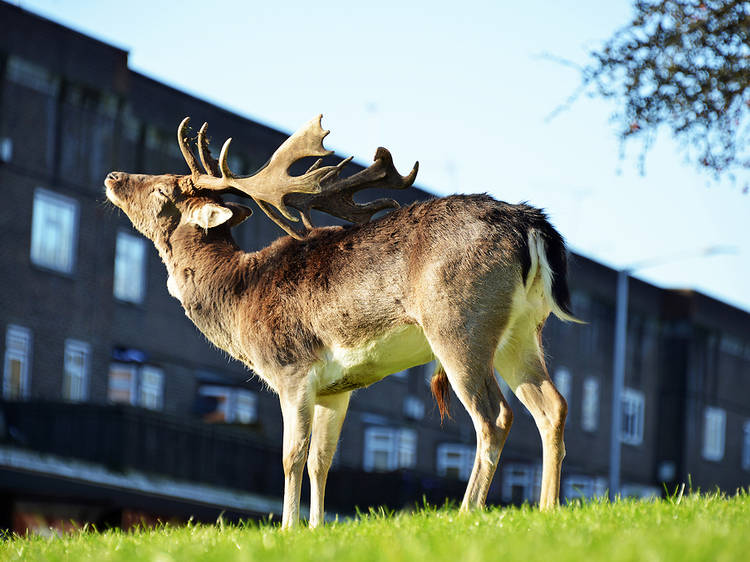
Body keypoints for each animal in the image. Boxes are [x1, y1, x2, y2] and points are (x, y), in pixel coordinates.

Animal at [103, 116, 580, 528]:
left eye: (162, 189)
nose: (113, 176)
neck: (239, 294)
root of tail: (529, 223)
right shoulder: (338, 388)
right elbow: (321, 460)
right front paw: (315, 529)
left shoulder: (292, 368)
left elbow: (291, 455)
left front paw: (287, 528)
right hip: (521, 331)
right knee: (551, 406)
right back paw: (547, 511)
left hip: (458, 323)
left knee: (495, 416)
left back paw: (467, 514)